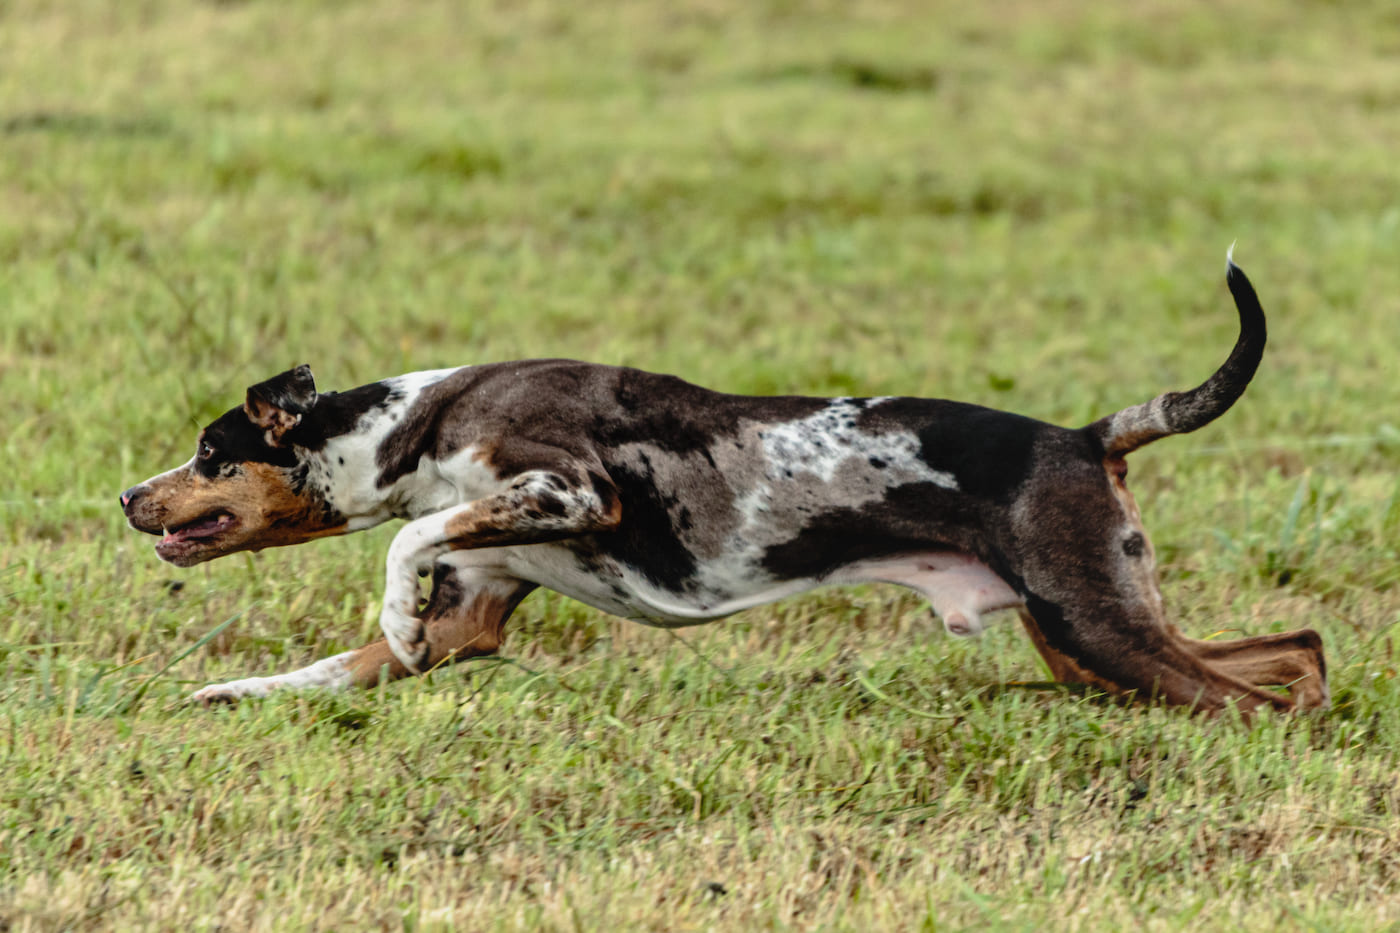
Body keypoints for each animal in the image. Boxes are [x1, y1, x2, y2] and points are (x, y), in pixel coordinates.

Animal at [117, 254, 1321, 711]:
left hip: (1091, 625)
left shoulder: (569, 492)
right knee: (1297, 653)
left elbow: (407, 543)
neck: (413, 426)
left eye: (211, 454)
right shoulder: (480, 612)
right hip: (1088, 637)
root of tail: (1083, 434)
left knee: (1264, 694)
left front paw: (393, 606)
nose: (127, 497)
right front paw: (230, 694)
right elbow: (323, 669)